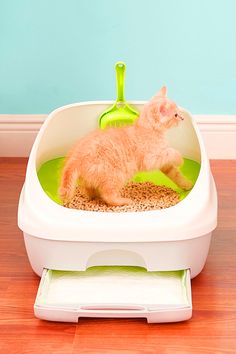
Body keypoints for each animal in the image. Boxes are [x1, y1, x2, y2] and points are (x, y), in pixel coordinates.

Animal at [58, 87, 192, 206]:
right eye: (175, 115)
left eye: (178, 113)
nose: (182, 118)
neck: (148, 129)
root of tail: (75, 157)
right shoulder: (150, 159)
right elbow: (169, 152)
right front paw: (179, 159)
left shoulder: (163, 164)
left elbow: (175, 173)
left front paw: (187, 184)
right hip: (115, 175)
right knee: (108, 195)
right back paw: (122, 201)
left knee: (89, 189)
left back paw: (95, 197)